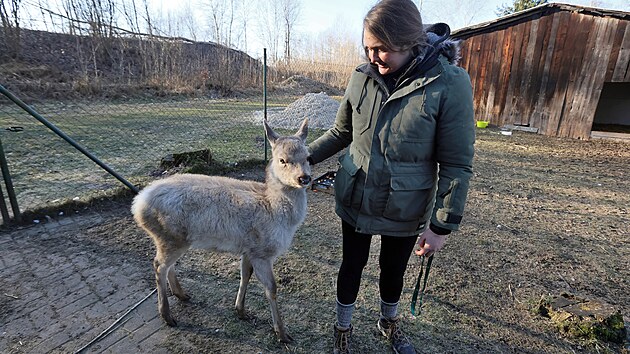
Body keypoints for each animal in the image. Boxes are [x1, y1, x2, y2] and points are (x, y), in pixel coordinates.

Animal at [132, 119, 312, 342]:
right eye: (282, 160)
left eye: (308, 157)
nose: (304, 178)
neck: (275, 210)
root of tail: (137, 205)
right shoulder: (262, 251)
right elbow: (271, 288)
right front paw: (282, 333)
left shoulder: (249, 249)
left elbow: (245, 275)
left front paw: (241, 311)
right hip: (170, 237)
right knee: (158, 265)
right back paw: (167, 316)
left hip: (172, 239)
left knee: (167, 266)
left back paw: (182, 294)